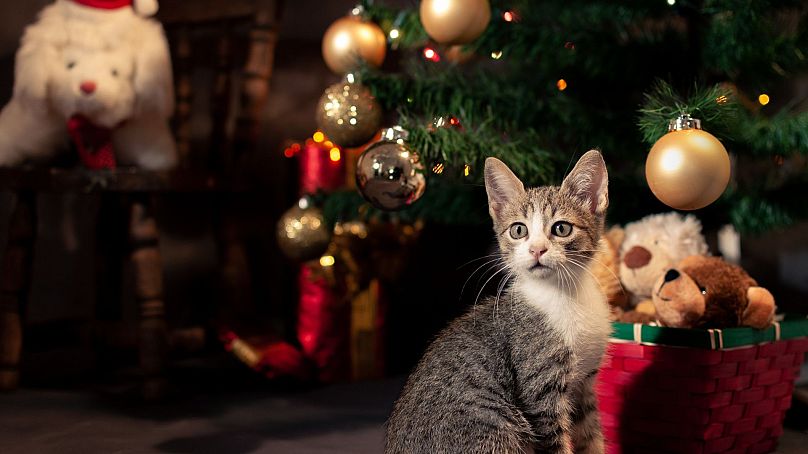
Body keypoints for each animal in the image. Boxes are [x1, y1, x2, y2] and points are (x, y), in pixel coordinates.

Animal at [386, 151, 612, 452]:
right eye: (518, 231)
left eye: (562, 228)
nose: (536, 249)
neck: (566, 296)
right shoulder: (540, 388)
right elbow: (555, 441)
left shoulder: (584, 385)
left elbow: (591, 436)